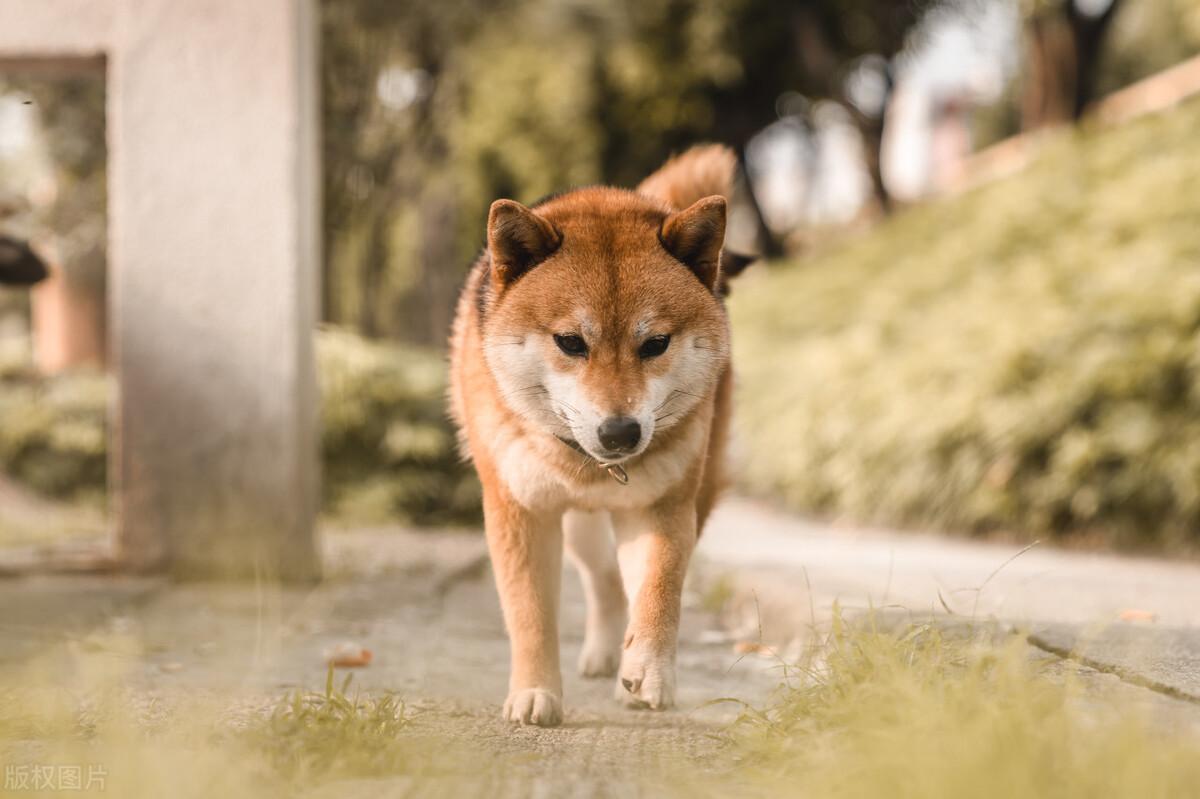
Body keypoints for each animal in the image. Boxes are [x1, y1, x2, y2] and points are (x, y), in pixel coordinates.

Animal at [451, 143, 748, 719]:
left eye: (655, 344)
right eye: (570, 342)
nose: (619, 433)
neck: (592, 468)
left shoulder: (661, 507)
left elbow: (660, 588)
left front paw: (648, 669)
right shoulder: (520, 510)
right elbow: (529, 614)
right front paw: (535, 692)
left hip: (690, 496)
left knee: (623, 585)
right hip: (578, 529)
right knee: (604, 581)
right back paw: (601, 655)